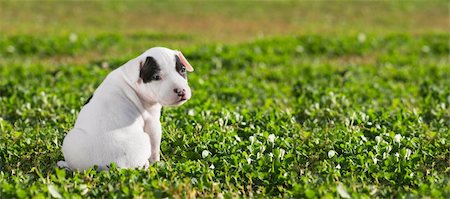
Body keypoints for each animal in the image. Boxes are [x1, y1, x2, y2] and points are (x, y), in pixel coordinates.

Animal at [57, 46, 193, 169]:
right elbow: (155, 147)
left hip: (70, 139)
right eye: (156, 77)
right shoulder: (152, 123)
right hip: (142, 140)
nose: (181, 91)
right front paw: (157, 163)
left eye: (183, 69)